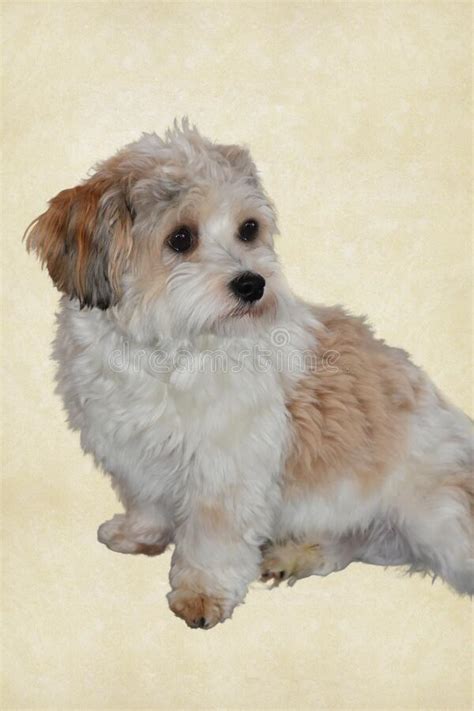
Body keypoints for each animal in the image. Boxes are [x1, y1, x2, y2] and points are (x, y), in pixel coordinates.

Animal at [25, 121, 474, 628]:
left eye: (248, 229)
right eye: (180, 238)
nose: (252, 283)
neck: (167, 352)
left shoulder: (225, 473)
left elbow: (212, 539)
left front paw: (201, 594)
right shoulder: (133, 455)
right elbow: (146, 500)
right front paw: (140, 534)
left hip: (436, 518)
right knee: (351, 545)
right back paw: (297, 554)